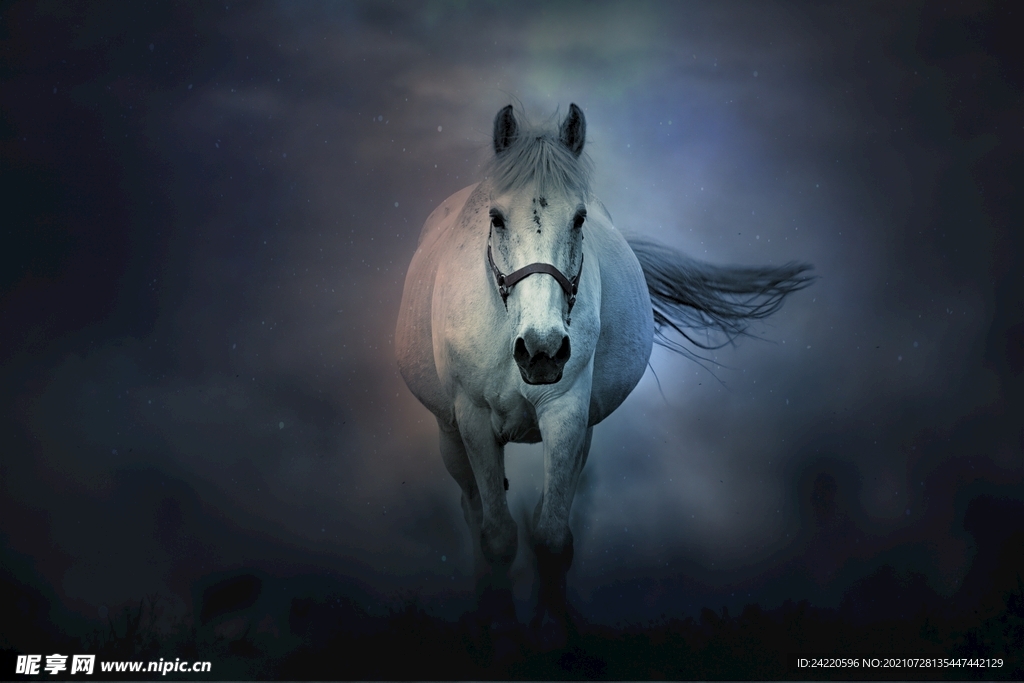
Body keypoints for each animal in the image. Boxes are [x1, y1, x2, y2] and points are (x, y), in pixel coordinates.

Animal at [395, 103, 814, 648]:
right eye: (496, 217)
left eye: (579, 218)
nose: (542, 351)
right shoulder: (474, 420)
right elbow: (498, 536)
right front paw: (503, 628)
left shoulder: (568, 413)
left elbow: (551, 536)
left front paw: (558, 633)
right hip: (450, 436)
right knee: (473, 510)